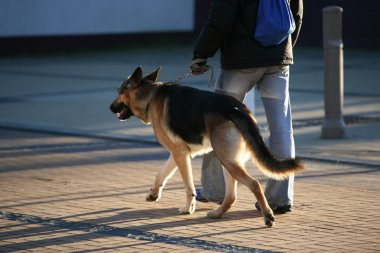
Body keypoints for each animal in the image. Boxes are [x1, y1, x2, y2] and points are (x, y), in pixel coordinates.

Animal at [109, 66, 302, 226]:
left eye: (119, 91)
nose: (110, 108)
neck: (150, 95)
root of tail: (236, 109)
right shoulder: (179, 153)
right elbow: (161, 174)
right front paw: (153, 193)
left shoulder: (180, 154)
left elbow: (188, 186)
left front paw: (188, 208)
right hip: (228, 161)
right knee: (231, 196)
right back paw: (217, 214)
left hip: (227, 160)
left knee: (254, 184)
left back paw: (267, 215)